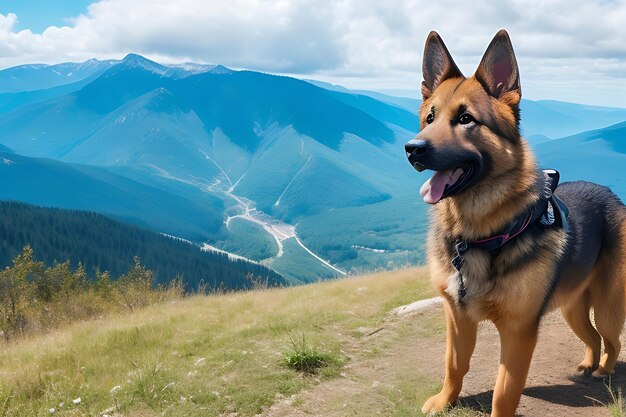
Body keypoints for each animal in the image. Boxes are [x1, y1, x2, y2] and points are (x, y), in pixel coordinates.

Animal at [402, 30, 624, 416]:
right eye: (429, 119)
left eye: (466, 119)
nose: (412, 149)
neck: (477, 235)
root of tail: (611, 193)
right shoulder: (457, 318)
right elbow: (453, 364)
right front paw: (445, 401)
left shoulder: (518, 332)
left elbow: (505, 391)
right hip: (572, 309)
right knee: (594, 338)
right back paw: (587, 364)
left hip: (608, 307)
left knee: (612, 340)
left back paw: (604, 371)